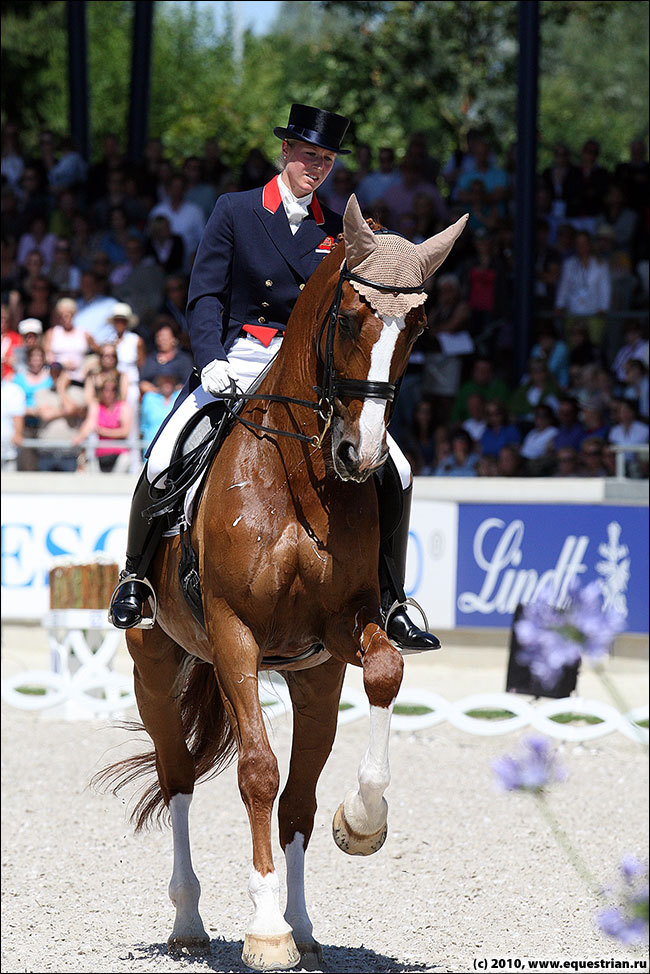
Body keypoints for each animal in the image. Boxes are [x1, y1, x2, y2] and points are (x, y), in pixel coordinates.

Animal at [101, 196, 466, 968]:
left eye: (418, 327)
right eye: (350, 317)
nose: (360, 454)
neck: (301, 476)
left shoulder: (344, 629)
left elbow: (383, 675)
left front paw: (362, 824)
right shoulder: (234, 635)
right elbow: (257, 773)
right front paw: (265, 929)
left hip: (314, 677)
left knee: (299, 797)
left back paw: (305, 926)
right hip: (156, 662)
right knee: (179, 778)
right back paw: (190, 921)